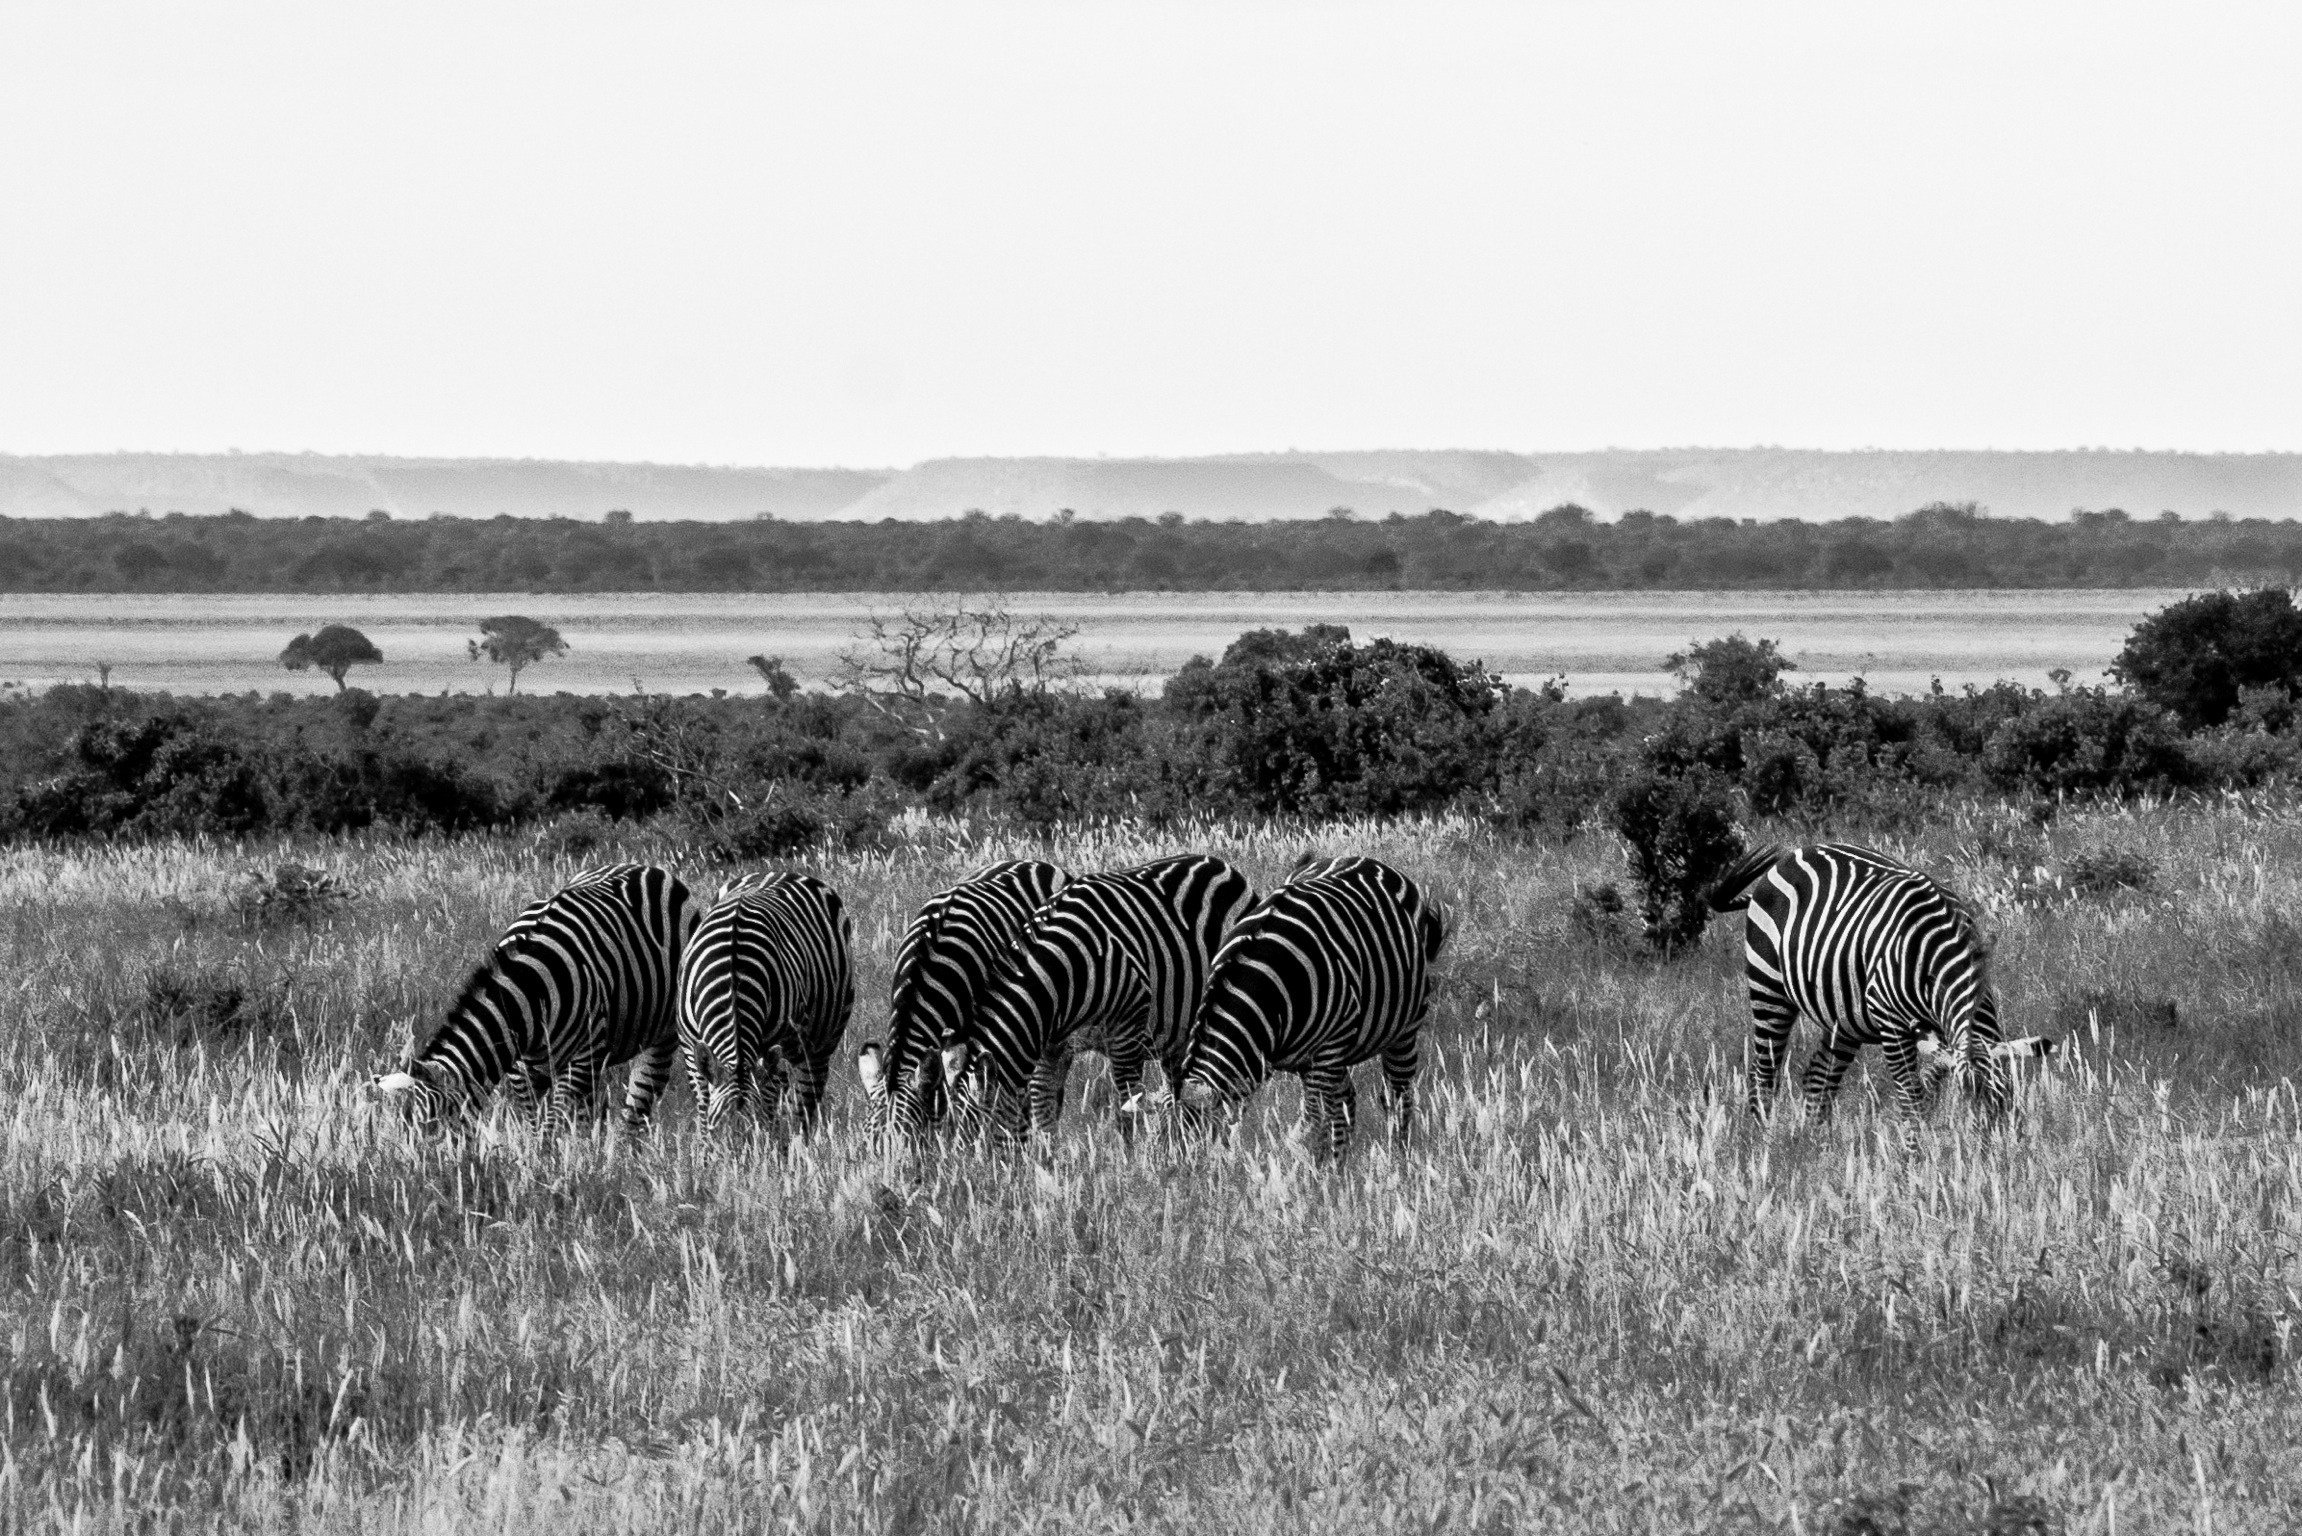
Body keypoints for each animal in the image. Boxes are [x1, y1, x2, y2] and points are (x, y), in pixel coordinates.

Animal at [371, 863, 698, 1134]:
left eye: (433, 1124)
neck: (530, 994)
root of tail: (645, 867)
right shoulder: (521, 1067)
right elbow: (533, 1122)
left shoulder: (580, 1057)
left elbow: (550, 1126)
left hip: (661, 1036)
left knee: (637, 1109)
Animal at [679, 872, 855, 1136]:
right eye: (716, 1128)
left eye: (756, 1131)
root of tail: (784, 871)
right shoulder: (689, 1045)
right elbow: (702, 1102)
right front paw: (703, 1145)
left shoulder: (777, 1044)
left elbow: (771, 1101)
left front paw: (772, 1141)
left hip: (820, 1040)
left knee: (805, 1097)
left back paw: (798, 1138)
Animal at [940, 853, 1255, 1144]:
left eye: (977, 1139)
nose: (971, 1169)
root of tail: (1222, 864)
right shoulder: (1050, 1048)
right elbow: (1043, 1116)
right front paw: (1046, 1163)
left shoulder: (1126, 1035)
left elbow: (1126, 1115)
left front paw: (1131, 1163)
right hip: (1177, 1037)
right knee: (1179, 1095)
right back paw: (1182, 1146)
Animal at [1154, 854, 1446, 1162]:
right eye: (1162, 1141)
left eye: (1195, 1147)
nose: (1172, 1171)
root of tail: (1362, 858)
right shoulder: (1309, 1062)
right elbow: (1318, 1122)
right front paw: (1319, 1168)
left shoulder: (1327, 1050)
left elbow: (1308, 1128)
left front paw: (1304, 1171)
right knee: (1347, 1100)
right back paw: (1340, 1164)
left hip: (1402, 1030)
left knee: (1397, 1095)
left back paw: (1399, 1159)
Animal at [1707, 842, 2014, 1128]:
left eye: (2011, 1112)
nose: (2001, 1147)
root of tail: (1790, 856)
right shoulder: (1891, 1022)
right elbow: (1911, 1099)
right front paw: (1918, 1145)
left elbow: (1933, 1075)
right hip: (1768, 987)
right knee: (1763, 1074)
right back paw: (1766, 1139)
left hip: (1842, 1014)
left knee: (1819, 1078)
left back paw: (1815, 1143)